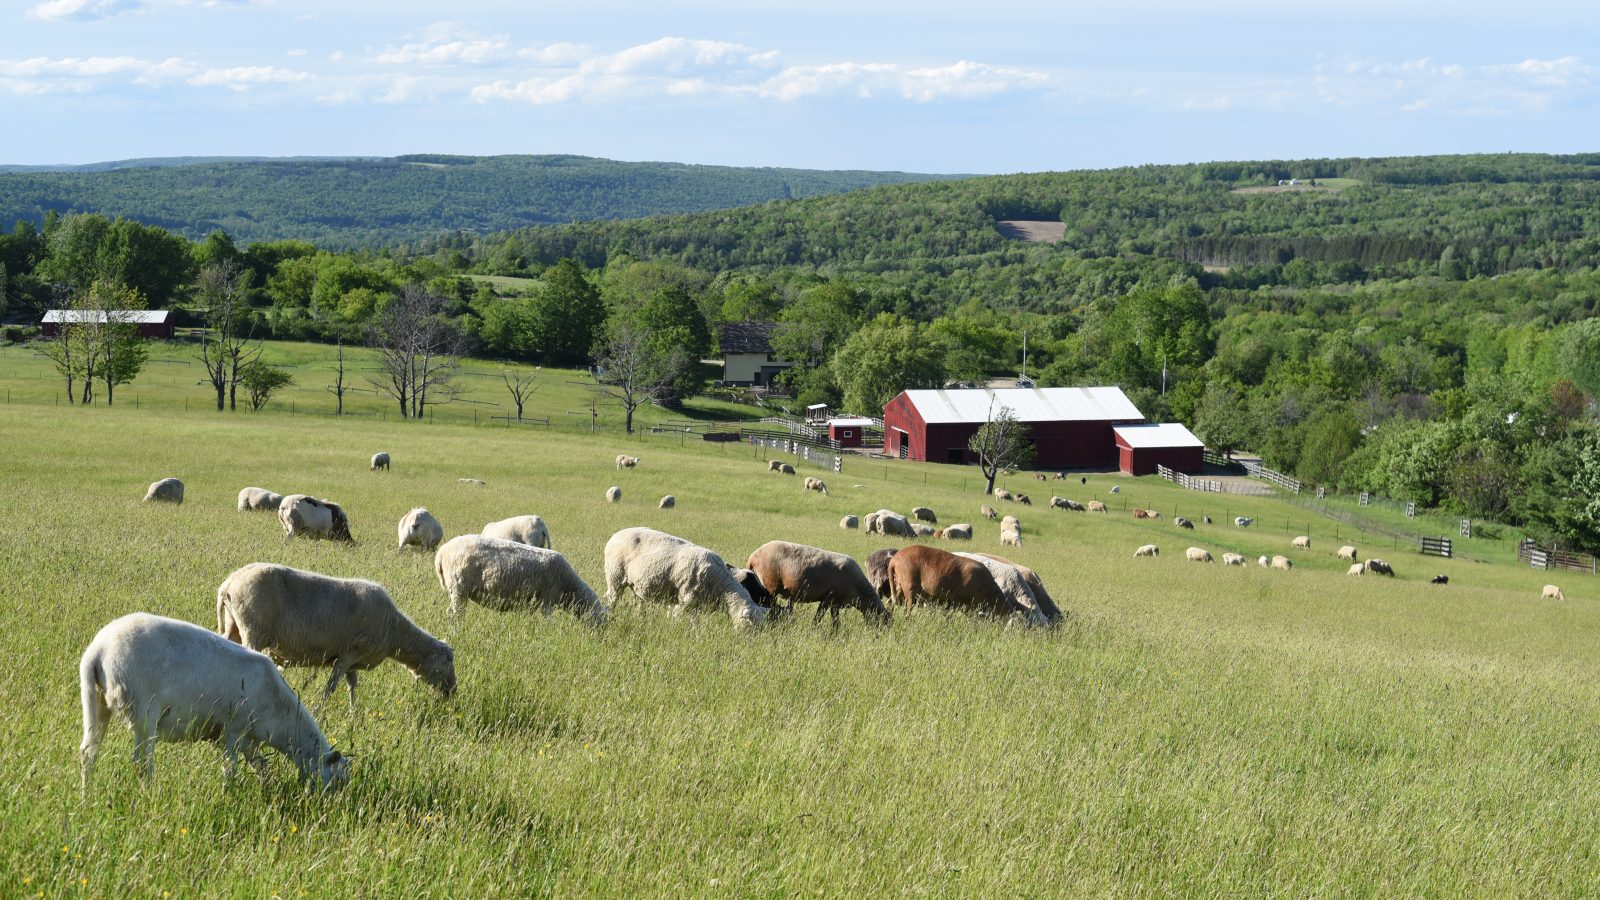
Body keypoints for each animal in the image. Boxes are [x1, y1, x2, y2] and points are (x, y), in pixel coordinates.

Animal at [78, 611, 350, 787]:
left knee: (88, 753)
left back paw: (86, 795)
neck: (279, 713)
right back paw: (149, 793)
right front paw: (229, 793)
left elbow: (261, 766)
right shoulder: (232, 730)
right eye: (336, 779)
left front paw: (267, 787)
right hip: (144, 711)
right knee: (142, 763)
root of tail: (98, 651)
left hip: (96, 700)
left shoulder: (245, 739)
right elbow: (231, 768)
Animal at [217, 560, 457, 707]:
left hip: (232, 627)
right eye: (449, 660)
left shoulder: (353, 661)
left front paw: (355, 715)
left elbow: (352, 685)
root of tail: (228, 583)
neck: (394, 632)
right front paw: (320, 709)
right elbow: (332, 688)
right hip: (252, 631)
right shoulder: (347, 654)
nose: (453, 691)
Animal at [432, 531, 604, 624]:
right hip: (459, 588)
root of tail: (441, 552)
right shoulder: (548, 599)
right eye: (601, 621)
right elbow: (549, 621)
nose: (600, 640)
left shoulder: (533, 602)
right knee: (454, 614)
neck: (569, 586)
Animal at [604, 522, 768, 627]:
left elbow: (695, 623)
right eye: (750, 625)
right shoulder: (685, 600)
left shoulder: (695, 604)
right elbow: (679, 618)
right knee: (612, 599)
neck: (721, 586)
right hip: (615, 576)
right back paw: (610, 615)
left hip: (637, 583)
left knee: (639, 602)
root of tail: (616, 535)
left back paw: (641, 619)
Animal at [745, 538, 896, 624]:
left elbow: (836, 622)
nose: (878, 638)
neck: (859, 591)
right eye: (883, 624)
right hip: (770, 586)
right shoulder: (828, 598)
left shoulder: (835, 603)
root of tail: (753, 556)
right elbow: (818, 618)